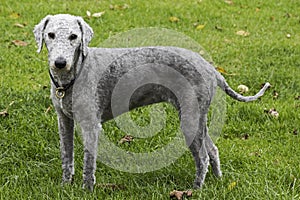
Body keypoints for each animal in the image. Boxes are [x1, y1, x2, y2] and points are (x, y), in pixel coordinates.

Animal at [34, 13, 270, 191]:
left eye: (74, 36)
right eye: (50, 35)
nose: (60, 63)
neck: (75, 75)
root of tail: (210, 68)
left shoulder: (91, 125)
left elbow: (89, 164)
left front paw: (86, 190)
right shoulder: (64, 121)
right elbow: (67, 157)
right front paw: (65, 186)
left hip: (189, 120)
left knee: (202, 157)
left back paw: (195, 189)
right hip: (198, 119)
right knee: (212, 149)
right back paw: (218, 180)